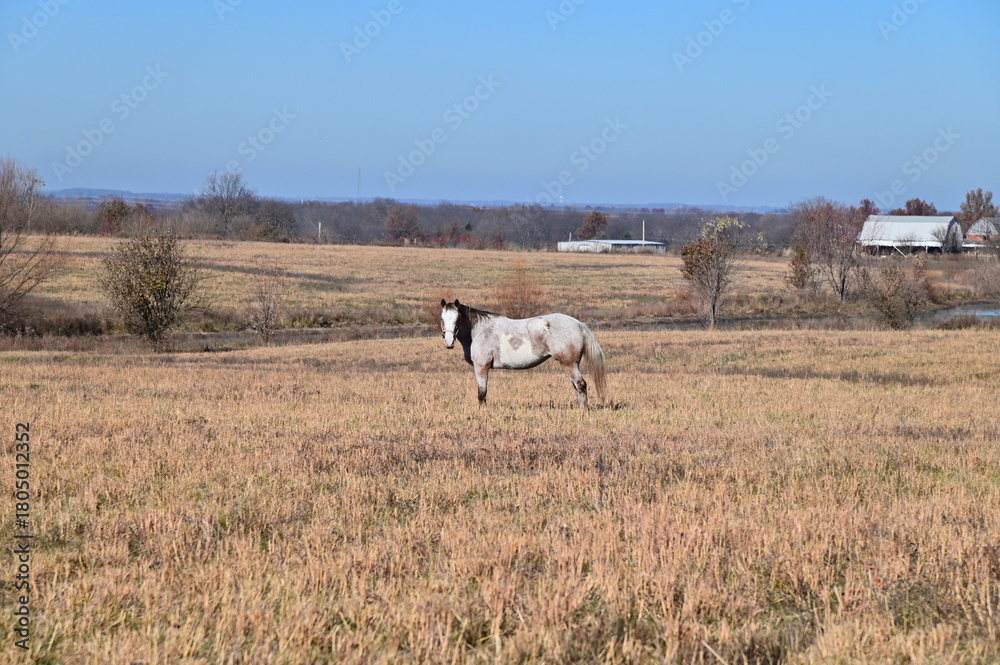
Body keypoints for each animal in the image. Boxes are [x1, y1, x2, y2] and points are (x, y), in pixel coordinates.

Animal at [439, 299, 606, 408]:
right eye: (442, 319)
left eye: (457, 319)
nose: (449, 342)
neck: (479, 331)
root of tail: (578, 324)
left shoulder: (481, 367)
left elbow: (482, 393)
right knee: (577, 387)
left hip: (569, 364)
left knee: (581, 385)